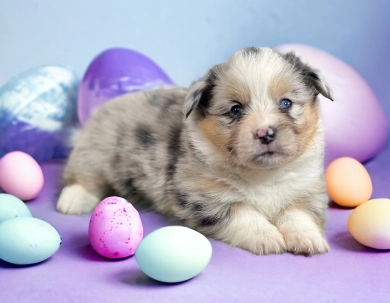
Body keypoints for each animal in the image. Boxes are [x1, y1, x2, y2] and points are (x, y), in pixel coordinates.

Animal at [57, 47, 332, 256]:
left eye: (286, 103)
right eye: (235, 110)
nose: (266, 133)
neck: (262, 174)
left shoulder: (308, 189)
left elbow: (298, 213)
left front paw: (308, 238)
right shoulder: (203, 197)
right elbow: (243, 213)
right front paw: (267, 236)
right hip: (96, 150)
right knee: (82, 175)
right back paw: (72, 199)